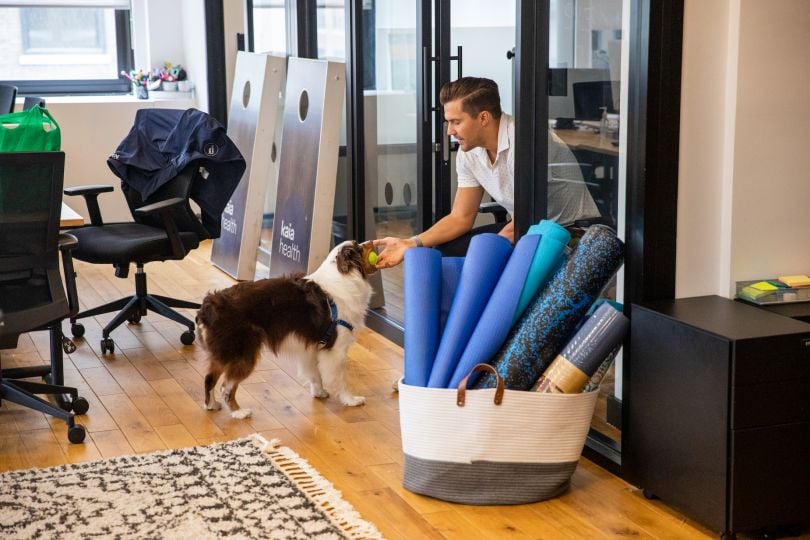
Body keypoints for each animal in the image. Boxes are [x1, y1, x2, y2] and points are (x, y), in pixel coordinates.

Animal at [196, 239, 376, 418]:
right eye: (359, 247)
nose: (372, 242)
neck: (343, 276)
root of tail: (208, 307)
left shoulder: (311, 348)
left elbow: (315, 374)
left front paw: (319, 392)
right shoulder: (336, 351)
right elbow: (342, 379)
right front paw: (351, 400)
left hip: (224, 354)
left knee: (209, 378)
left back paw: (212, 405)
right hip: (243, 354)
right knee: (226, 386)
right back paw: (238, 412)